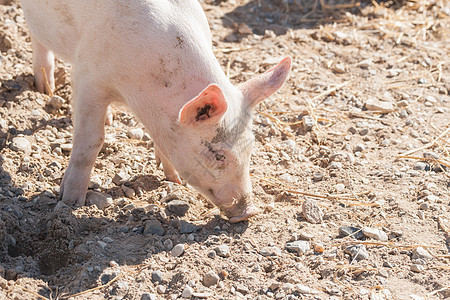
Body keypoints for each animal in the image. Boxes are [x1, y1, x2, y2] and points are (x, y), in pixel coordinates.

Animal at [21, 0, 290, 223]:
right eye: (218, 156)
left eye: (251, 148)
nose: (250, 212)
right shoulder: (89, 75)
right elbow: (90, 141)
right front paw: (70, 202)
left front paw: (173, 179)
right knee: (36, 38)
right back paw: (44, 88)